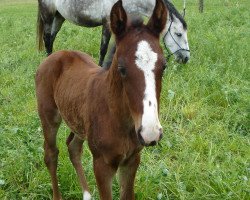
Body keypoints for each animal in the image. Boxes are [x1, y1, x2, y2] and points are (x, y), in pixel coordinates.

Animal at [35, 0, 168, 199]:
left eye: (164, 66)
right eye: (121, 68)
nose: (150, 133)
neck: (117, 118)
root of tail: (55, 55)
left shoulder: (132, 161)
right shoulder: (102, 165)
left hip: (78, 121)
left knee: (73, 147)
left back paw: (87, 193)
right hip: (48, 117)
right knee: (51, 154)